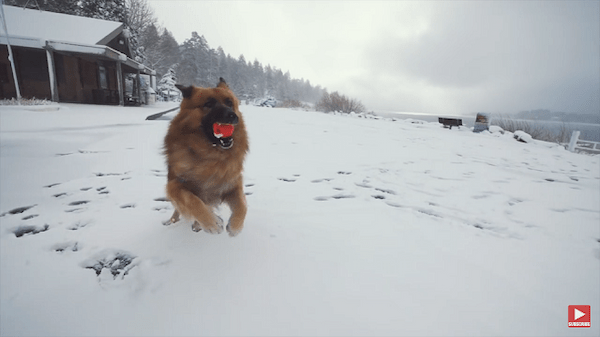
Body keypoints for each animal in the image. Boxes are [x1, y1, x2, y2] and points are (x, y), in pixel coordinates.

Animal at [162, 78, 248, 236]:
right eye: (208, 104)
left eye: (229, 103)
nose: (232, 116)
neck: (211, 155)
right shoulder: (174, 185)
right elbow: (192, 201)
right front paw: (212, 223)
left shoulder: (232, 184)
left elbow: (242, 206)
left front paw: (235, 226)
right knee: (179, 208)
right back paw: (173, 221)